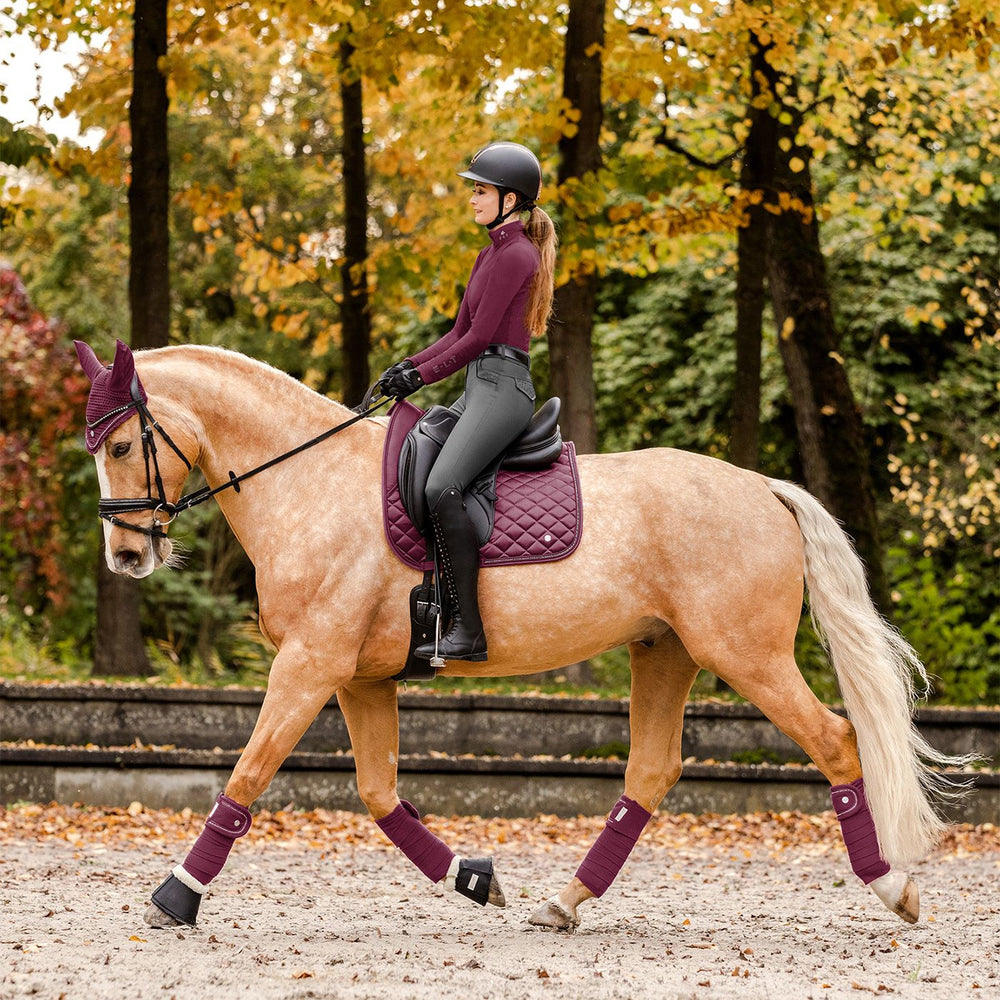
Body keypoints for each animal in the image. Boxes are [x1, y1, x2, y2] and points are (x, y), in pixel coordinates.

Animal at [74, 342, 964, 928]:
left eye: (119, 444)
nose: (125, 556)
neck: (307, 481)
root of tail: (763, 488)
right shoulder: (358, 676)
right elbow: (378, 794)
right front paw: (472, 876)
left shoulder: (310, 663)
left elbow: (248, 775)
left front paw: (176, 895)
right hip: (664, 652)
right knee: (650, 773)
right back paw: (564, 902)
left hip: (746, 655)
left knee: (837, 741)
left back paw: (893, 888)